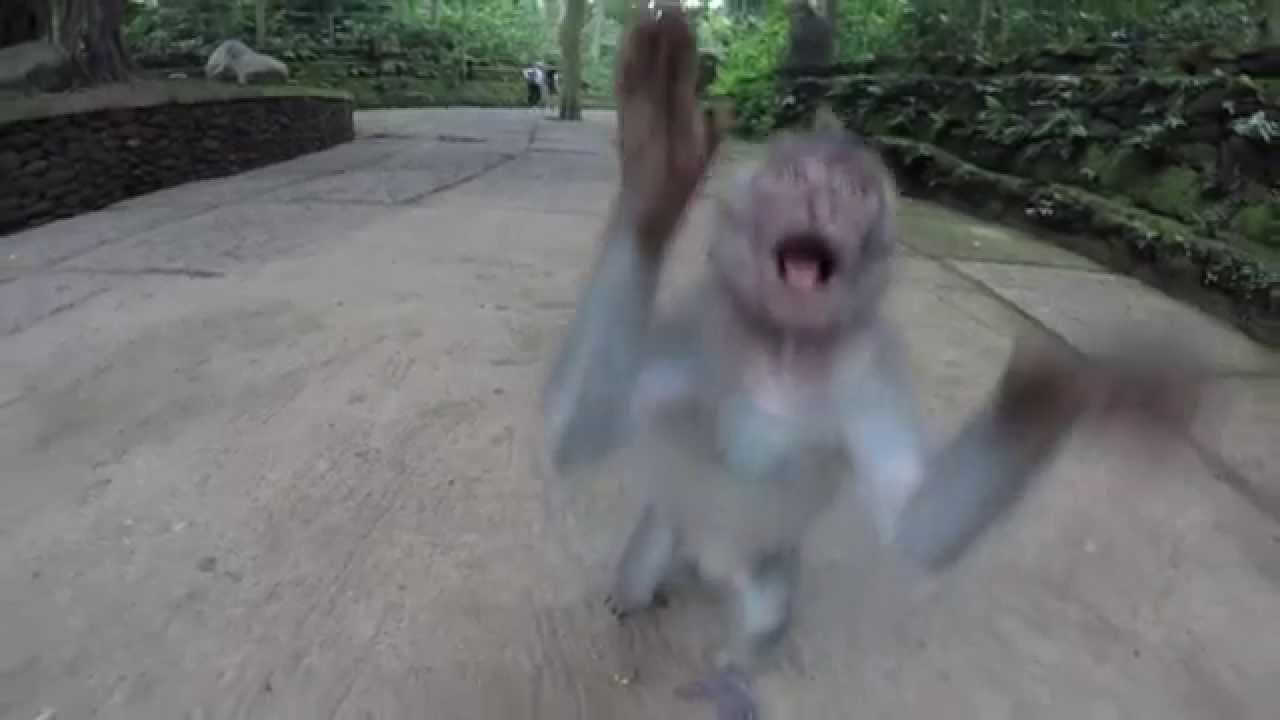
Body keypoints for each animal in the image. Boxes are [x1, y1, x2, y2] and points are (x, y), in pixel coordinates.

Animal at [538, 10, 1203, 720]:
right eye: (795, 179)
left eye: (852, 190)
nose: (821, 203)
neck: (786, 344)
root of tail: (707, 562)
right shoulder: (702, 324)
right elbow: (576, 436)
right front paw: (655, 173)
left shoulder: (871, 363)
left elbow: (915, 526)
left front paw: (1058, 390)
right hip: (671, 521)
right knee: (642, 567)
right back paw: (640, 593)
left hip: (764, 563)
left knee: (764, 607)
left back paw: (732, 675)